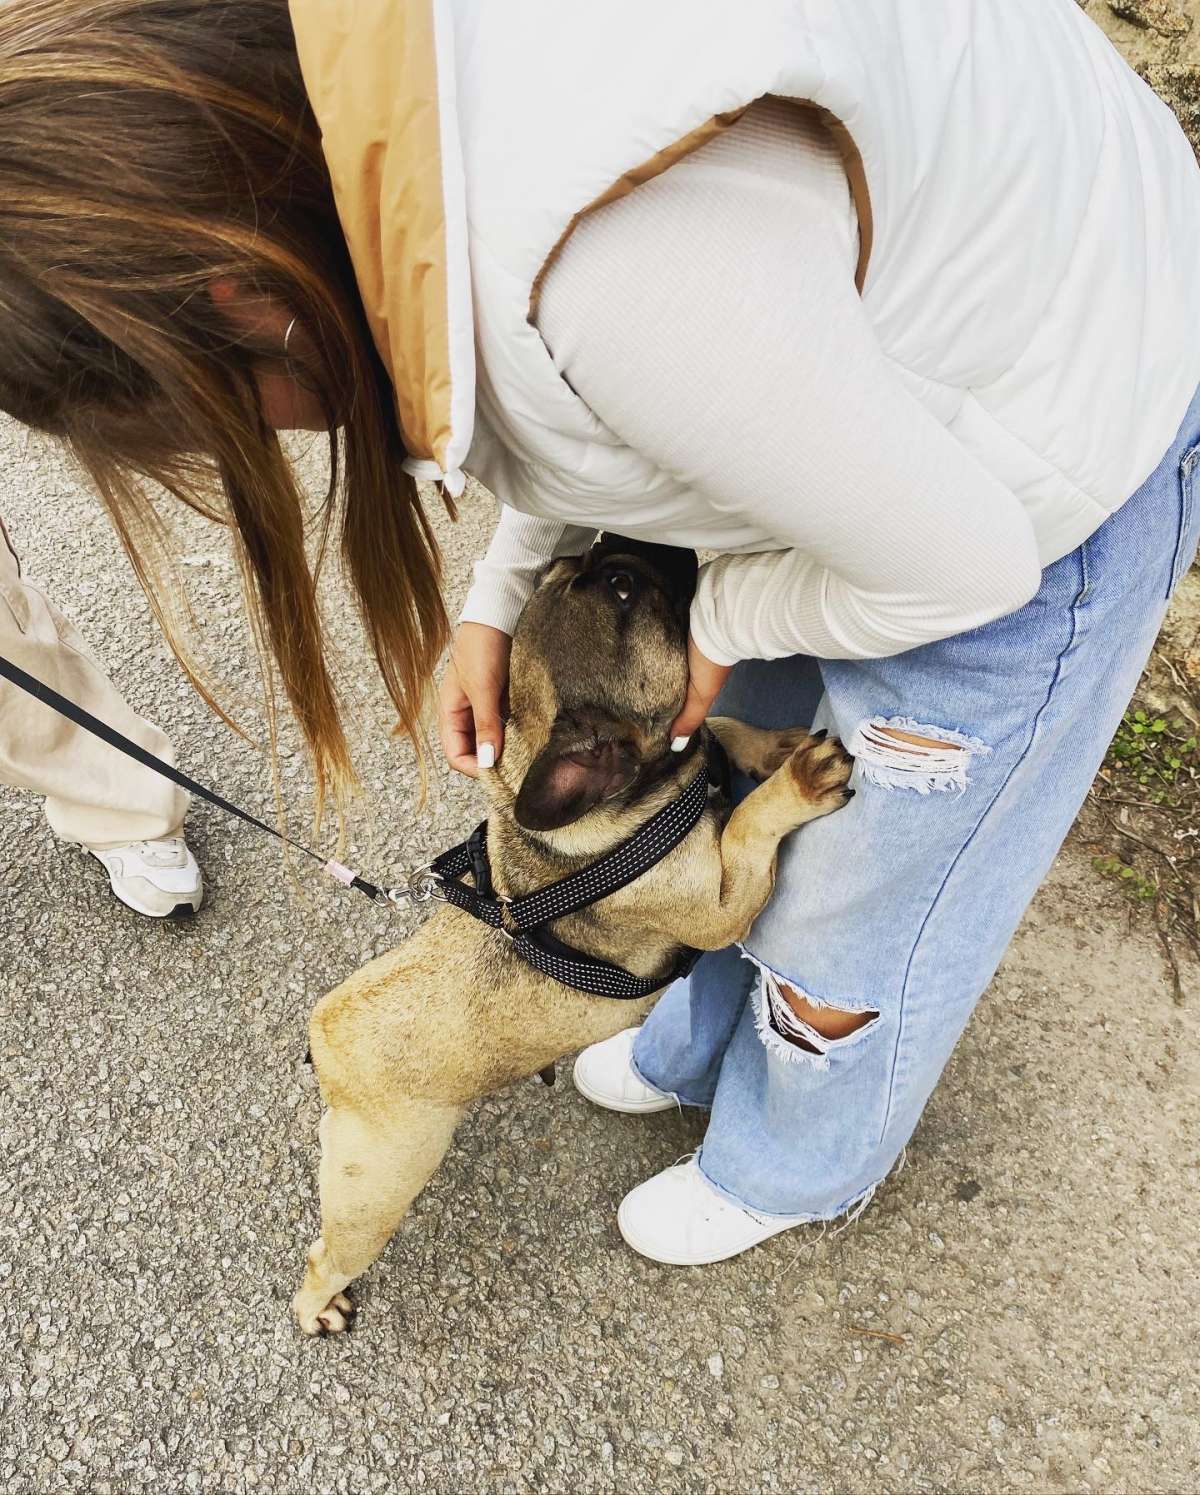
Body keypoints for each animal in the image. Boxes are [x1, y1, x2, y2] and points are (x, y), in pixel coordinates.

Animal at [292, 535, 854, 1333]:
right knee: (329, 1251)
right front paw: (795, 782)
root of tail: (325, 1042)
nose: (618, 538)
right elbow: (747, 826)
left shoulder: (689, 747)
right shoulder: (722, 905)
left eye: (594, 566)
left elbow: (717, 729)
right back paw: (318, 1306)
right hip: (376, 1186)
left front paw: (771, 746)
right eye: (621, 588)